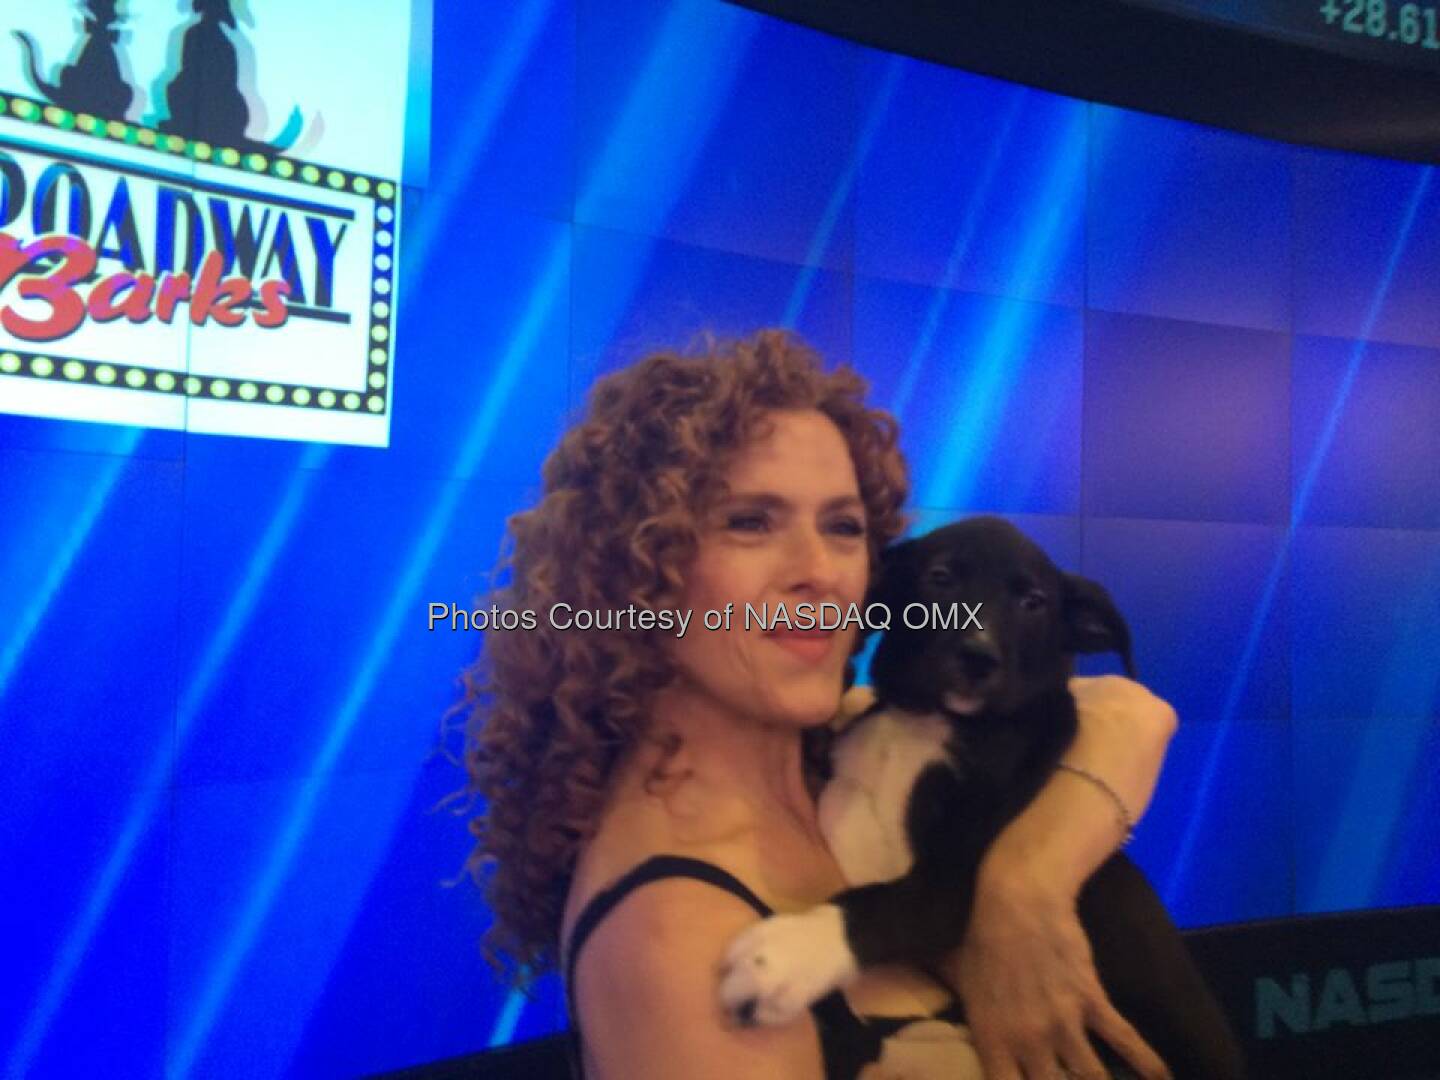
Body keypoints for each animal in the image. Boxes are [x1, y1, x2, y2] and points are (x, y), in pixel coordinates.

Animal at [720, 515, 1249, 1080]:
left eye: (1034, 601)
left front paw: (783, 956)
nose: (978, 657)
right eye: (940, 576)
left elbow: (874, 902)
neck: (930, 721)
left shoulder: (947, 886)